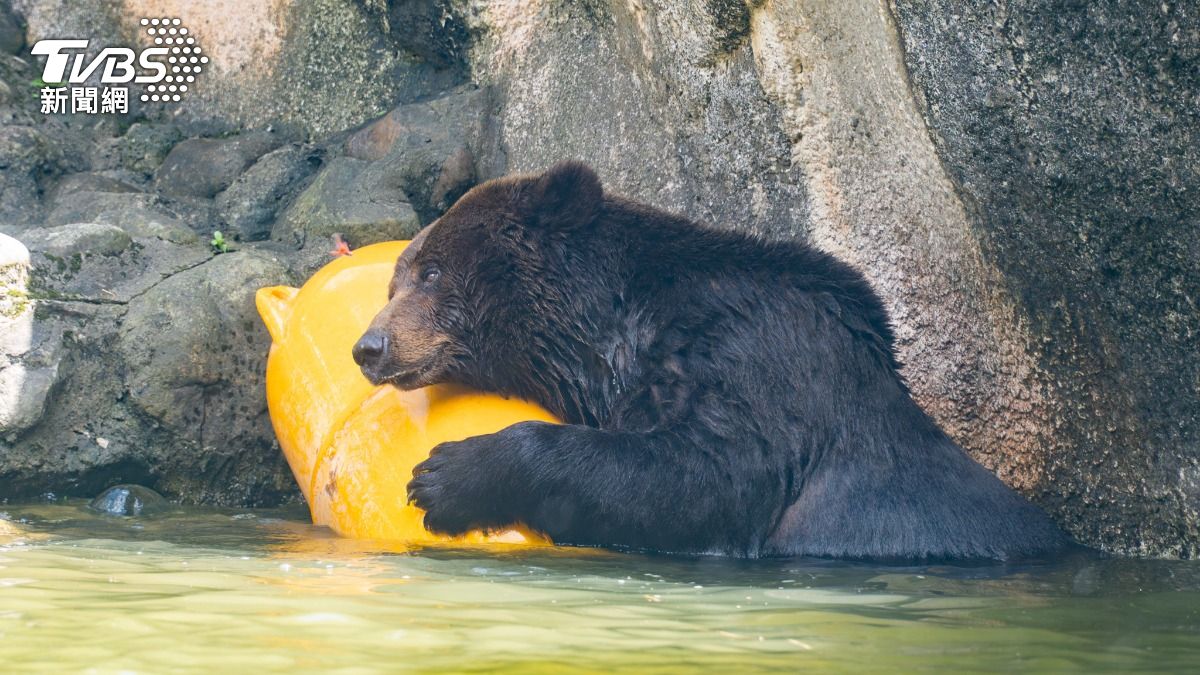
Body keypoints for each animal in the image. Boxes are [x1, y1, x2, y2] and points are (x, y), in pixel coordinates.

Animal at [351, 160, 1069, 560]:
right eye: (394, 281)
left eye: (432, 271)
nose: (369, 347)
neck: (617, 334)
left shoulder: (755, 356)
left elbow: (708, 474)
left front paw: (446, 476)